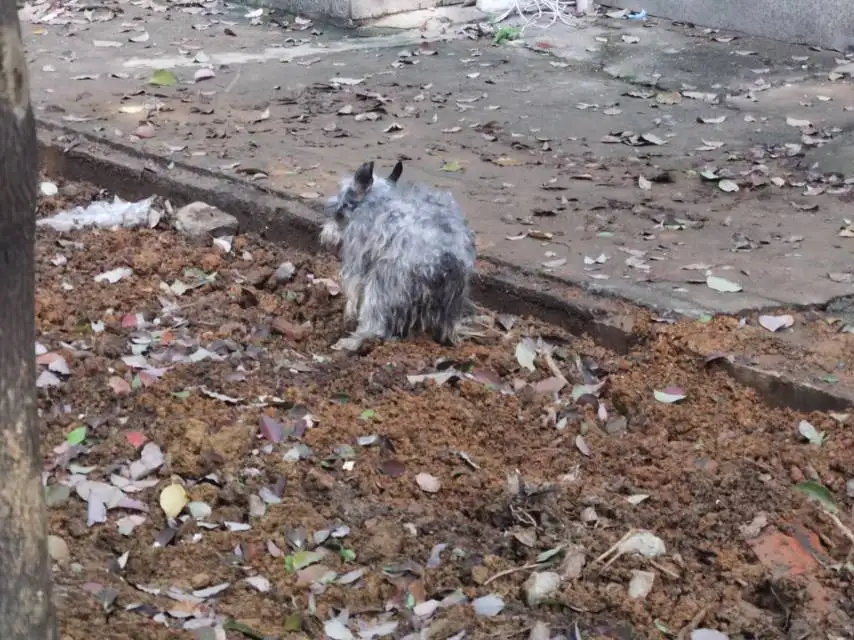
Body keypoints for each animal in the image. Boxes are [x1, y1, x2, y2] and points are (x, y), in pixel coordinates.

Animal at [320, 159, 478, 350]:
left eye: (337, 212)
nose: (325, 236)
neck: (378, 198)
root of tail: (445, 258)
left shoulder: (357, 258)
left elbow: (353, 292)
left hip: (385, 283)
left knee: (375, 322)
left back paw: (353, 342)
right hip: (450, 301)